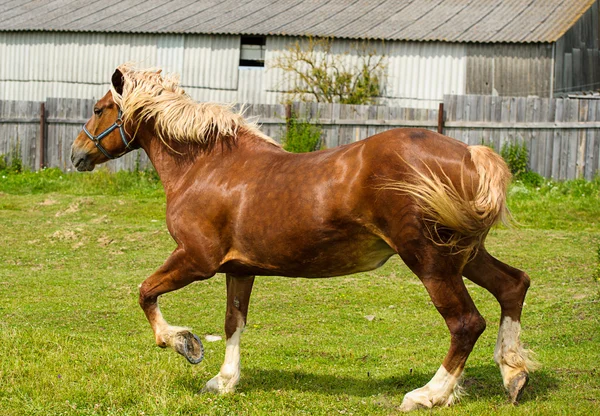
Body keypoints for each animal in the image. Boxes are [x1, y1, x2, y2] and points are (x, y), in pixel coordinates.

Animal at [70, 64, 536, 410]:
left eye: (98, 108)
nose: (76, 154)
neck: (206, 167)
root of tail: (469, 155)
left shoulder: (196, 261)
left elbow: (146, 292)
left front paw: (185, 344)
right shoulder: (239, 269)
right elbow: (233, 321)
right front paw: (223, 381)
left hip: (430, 260)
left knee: (466, 323)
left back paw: (428, 394)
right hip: (464, 254)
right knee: (513, 285)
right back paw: (514, 375)